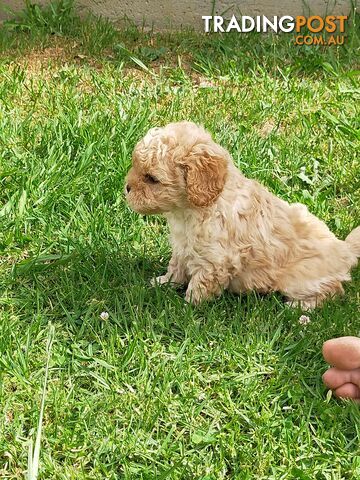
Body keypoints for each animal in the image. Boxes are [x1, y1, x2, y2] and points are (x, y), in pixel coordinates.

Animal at [125, 120, 358, 308]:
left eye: (152, 179)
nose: (126, 187)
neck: (190, 210)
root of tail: (345, 249)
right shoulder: (183, 247)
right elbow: (176, 267)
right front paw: (163, 283)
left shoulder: (215, 260)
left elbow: (200, 285)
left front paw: (187, 308)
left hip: (300, 278)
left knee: (334, 289)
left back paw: (300, 308)